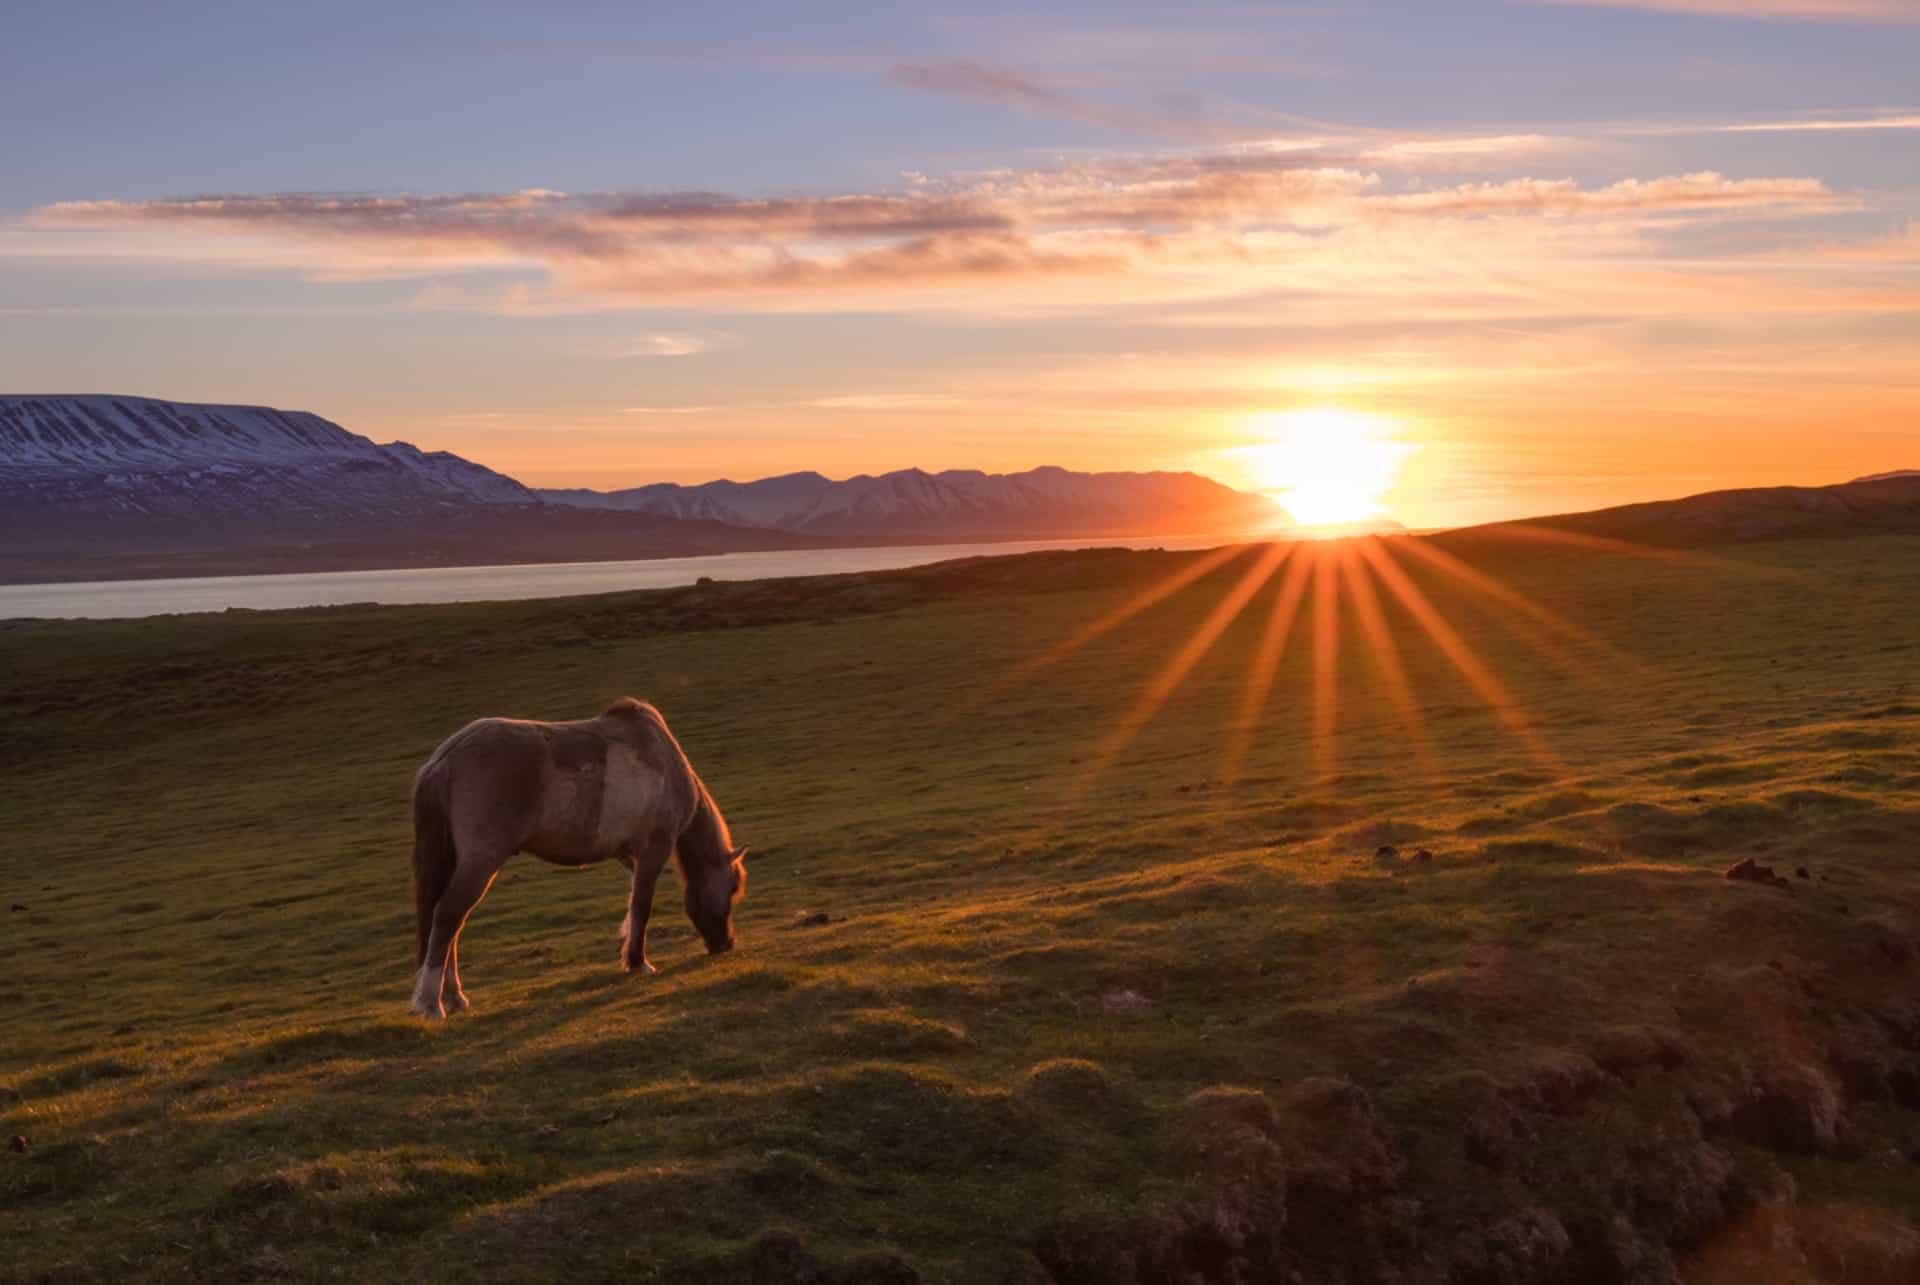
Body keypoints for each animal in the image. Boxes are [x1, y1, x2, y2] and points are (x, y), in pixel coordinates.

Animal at [408, 695, 744, 1014]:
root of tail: (446, 758)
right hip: (480, 862)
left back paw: (453, 997)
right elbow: (643, 906)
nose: (725, 944)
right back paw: (432, 1003)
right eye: (732, 889)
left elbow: (633, 904)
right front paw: (638, 962)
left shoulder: (629, 856)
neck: (664, 762)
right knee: (448, 916)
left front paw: (627, 953)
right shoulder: (653, 851)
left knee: (449, 924)